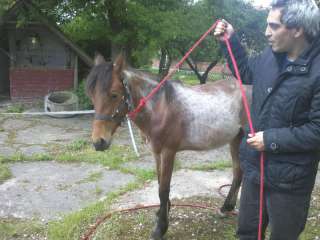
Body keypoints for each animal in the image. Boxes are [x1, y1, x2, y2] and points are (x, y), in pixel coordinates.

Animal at [86, 54, 251, 240]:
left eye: (114, 95)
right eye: (91, 95)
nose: (99, 142)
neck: (161, 107)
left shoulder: (168, 152)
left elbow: (164, 189)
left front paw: (160, 228)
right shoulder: (157, 153)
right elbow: (159, 183)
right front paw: (161, 212)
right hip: (235, 139)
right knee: (238, 173)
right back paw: (226, 208)